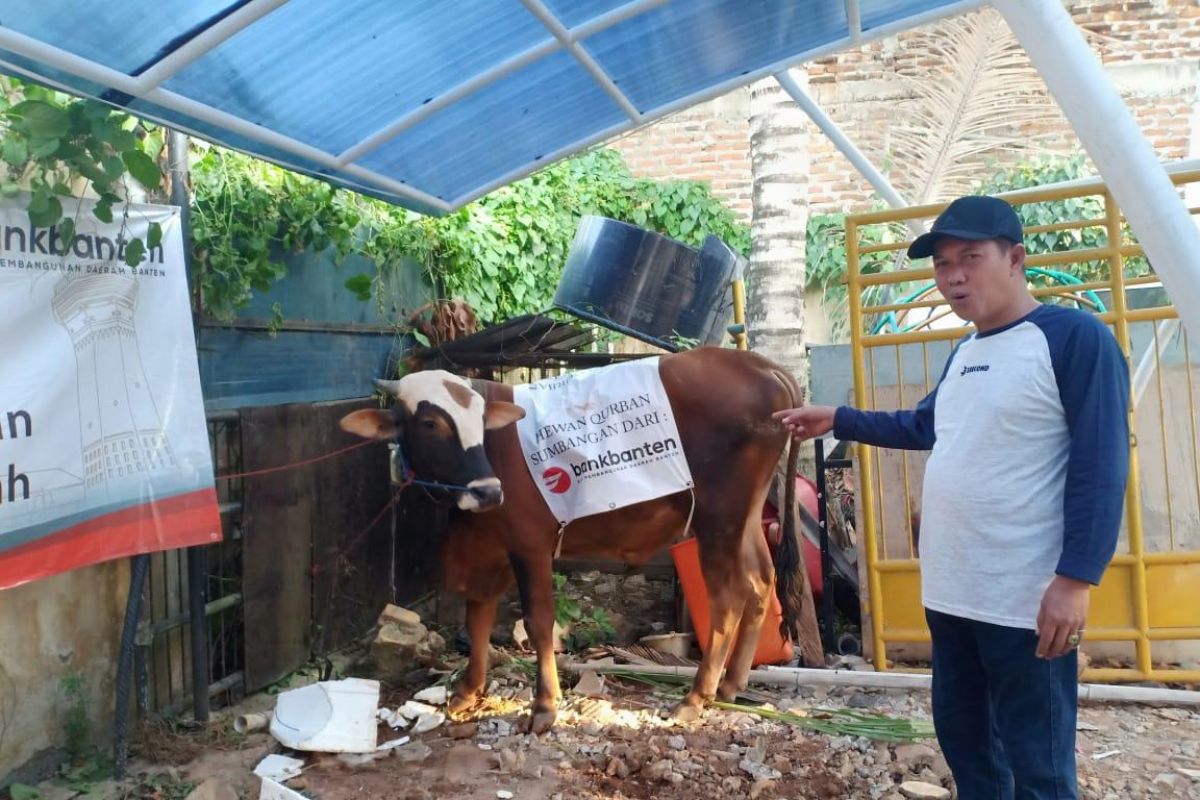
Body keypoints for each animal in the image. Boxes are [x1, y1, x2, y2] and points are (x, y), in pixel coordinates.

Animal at [340, 347, 825, 734]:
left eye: (477, 420)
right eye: (429, 422)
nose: (489, 491)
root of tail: (759, 363)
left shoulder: (530, 544)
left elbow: (538, 622)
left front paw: (544, 706)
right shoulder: (487, 548)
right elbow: (478, 617)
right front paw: (467, 690)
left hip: (718, 521)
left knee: (728, 598)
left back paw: (695, 696)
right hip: (744, 521)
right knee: (761, 583)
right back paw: (730, 683)